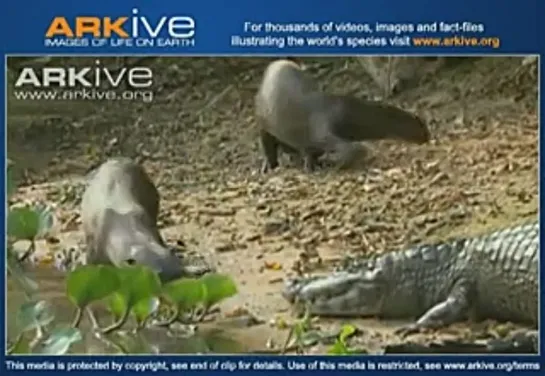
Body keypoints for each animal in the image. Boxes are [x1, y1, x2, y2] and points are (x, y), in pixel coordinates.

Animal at [255, 58, 430, 172]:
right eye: (419, 123)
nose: (426, 134)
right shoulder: (322, 134)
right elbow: (351, 150)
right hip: (264, 125)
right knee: (268, 145)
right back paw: (270, 166)